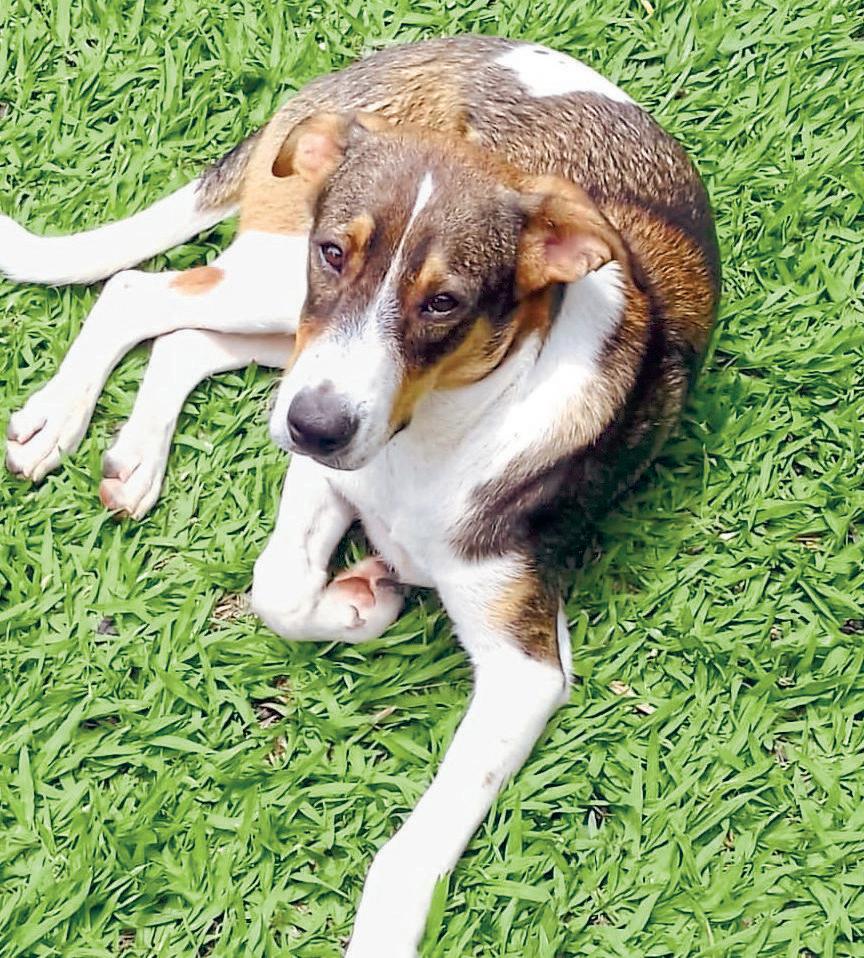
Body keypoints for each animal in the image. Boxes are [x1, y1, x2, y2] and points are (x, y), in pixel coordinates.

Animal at [1, 35, 719, 956]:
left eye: (444, 303)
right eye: (336, 253)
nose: (317, 428)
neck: (435, 438)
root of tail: (429, 49)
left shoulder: (523, 662)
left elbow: (410, 850)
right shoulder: (325, 449)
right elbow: (278, 586)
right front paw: (360, 604)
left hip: (286, 335)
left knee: (186, 338)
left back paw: (134, 457)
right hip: (281, 294)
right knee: (139, 292)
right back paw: (58, 419)